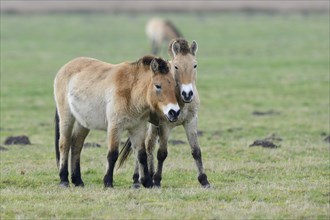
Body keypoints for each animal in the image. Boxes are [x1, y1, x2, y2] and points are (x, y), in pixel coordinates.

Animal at [55, 55, 182, 188]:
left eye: (174, 85)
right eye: (158, 86)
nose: (174, 112)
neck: (131, 92)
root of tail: (65, 67)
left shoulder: (138, 128)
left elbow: (142, 154)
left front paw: (147, 182)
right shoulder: (115, 126)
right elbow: (113, 154)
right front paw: (108, 182)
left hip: (83, 123)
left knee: (76, 146)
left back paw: (78, 181)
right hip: (67, 118)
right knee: (64, 144)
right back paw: (64, 180)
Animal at [118, 38, 211, 188]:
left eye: (195, 65)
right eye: (176, 67)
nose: (187, 94)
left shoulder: (191, 121)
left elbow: (196, 151)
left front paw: (204, 180)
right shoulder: (165, 125)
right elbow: (162, 153)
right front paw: (157, 180)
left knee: (148, 145)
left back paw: (147, 175)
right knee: (142, 146)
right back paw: (137, 179)